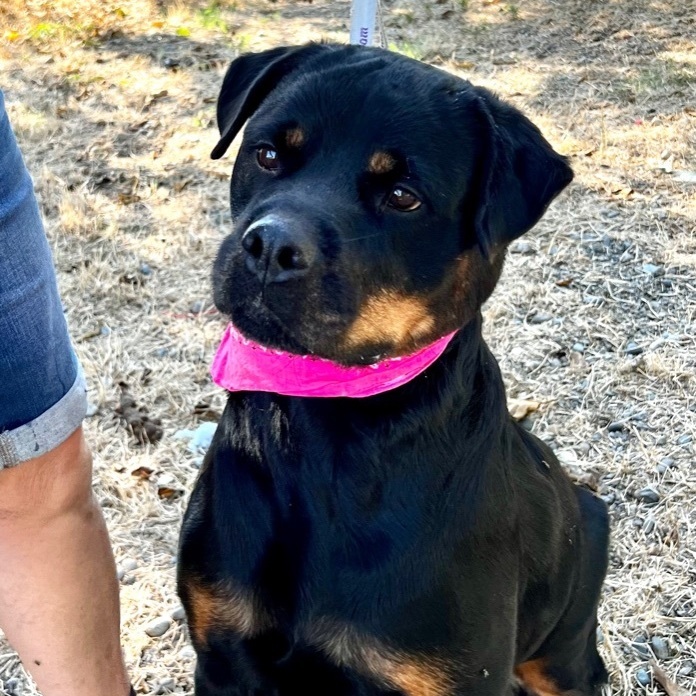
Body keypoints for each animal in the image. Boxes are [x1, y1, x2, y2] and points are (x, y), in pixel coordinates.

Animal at [179, 44, 608, 696]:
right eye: (268, 154)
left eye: (404, 196)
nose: (270, 248)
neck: (324, 433)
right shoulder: (223, 657)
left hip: (563, 654)